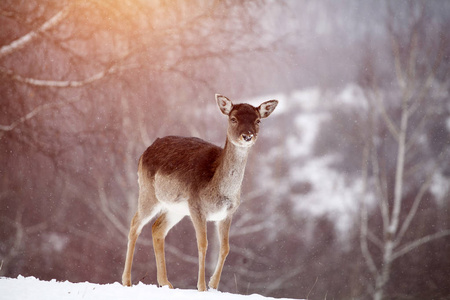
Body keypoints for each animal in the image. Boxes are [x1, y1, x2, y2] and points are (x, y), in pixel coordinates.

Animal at [121, 93, 276, 290]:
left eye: (258, 120)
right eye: (233, 118)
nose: (247, 136)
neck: (218, 191)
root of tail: (144, 152)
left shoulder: (228, 213)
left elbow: (225, 247)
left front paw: (213, 285)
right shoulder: (196, 207)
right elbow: (203, 244)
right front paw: (201, 286)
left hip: (176, 209)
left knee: (157, 228)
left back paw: (165, 282)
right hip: (148, 193)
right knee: (135, 224)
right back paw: (127, 281)